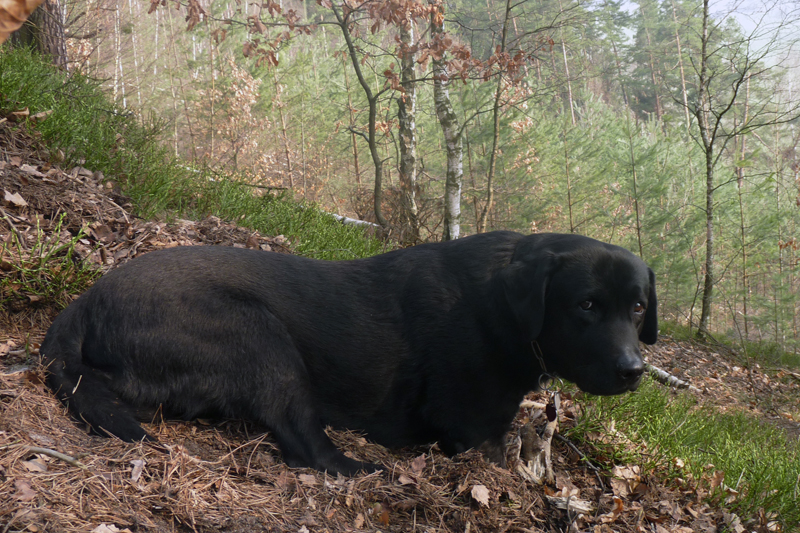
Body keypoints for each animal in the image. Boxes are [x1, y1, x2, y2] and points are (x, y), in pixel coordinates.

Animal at [39, 231, 656, 472]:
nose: (634, 371)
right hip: (262, 337)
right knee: (306, 445)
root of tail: (84, 303)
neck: (499, 308)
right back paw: (361, 468)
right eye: (586, 305)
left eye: (638, 307)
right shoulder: (471, 434)